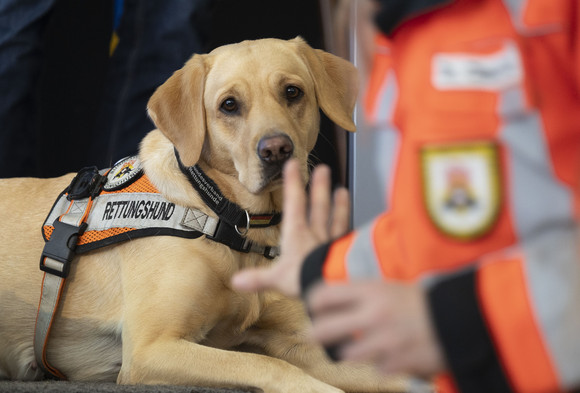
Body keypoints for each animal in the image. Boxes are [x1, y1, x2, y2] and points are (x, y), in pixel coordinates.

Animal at [0, 37, 406, 392]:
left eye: (293, 92)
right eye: (229, 105)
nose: (277, 149)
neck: (230, 221)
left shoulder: (299, 343)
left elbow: (389, 374)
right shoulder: (150, 349)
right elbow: (266, 363)